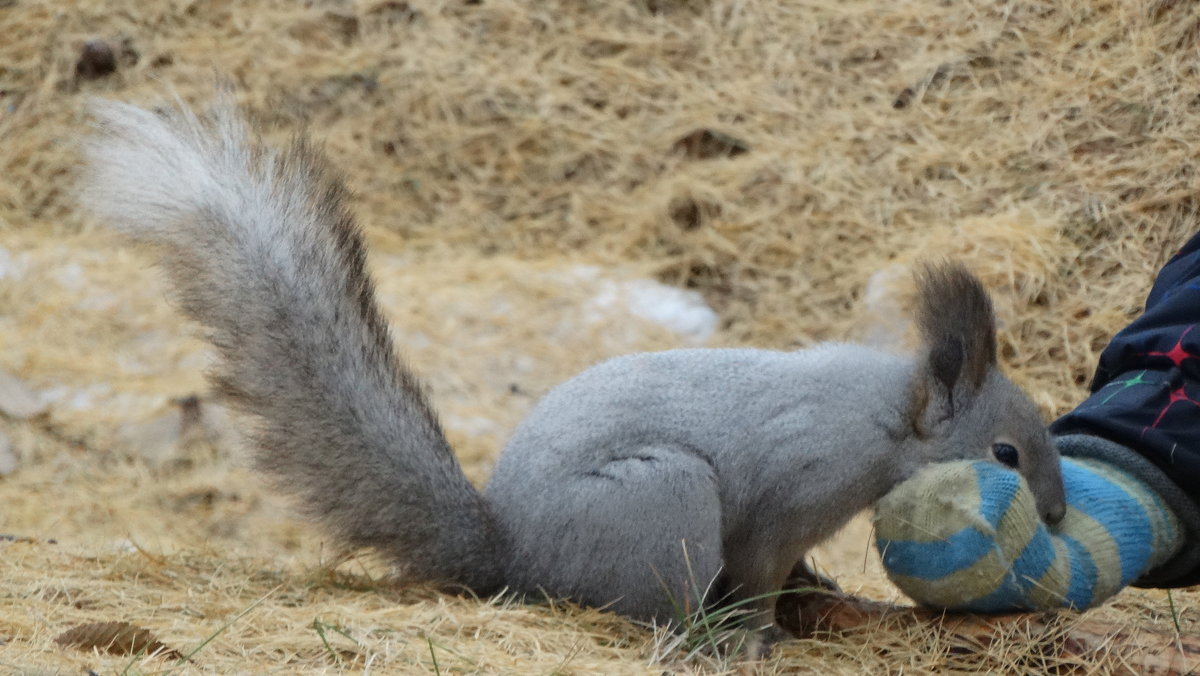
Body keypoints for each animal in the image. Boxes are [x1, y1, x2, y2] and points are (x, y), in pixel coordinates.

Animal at [79, 97, 1065, 653]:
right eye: (1006, 454)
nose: (1056, 516)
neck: (883, 415)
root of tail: (515, 555)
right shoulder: (794, 488)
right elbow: (758, 566)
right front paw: (762, 628)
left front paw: (818, 593)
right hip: (663, 499)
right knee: (654, 606)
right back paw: (708, 638)